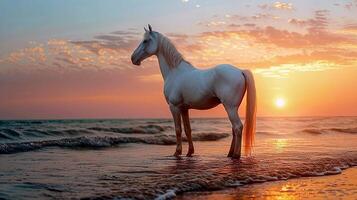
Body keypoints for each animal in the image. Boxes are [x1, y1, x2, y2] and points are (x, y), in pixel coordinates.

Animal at [131, 24, 256, 159]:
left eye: (145, 41)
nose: (133, 58)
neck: (175, 72)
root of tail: (240, 71)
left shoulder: (174, 106)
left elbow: (178, 129)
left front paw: (177, 152)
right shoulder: (184, 108)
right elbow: (187, 129)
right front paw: (190, 152)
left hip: (230, 107)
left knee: (238, 127)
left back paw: (236, 155)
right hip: (232, 108)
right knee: (234, 128)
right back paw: (230, 154)